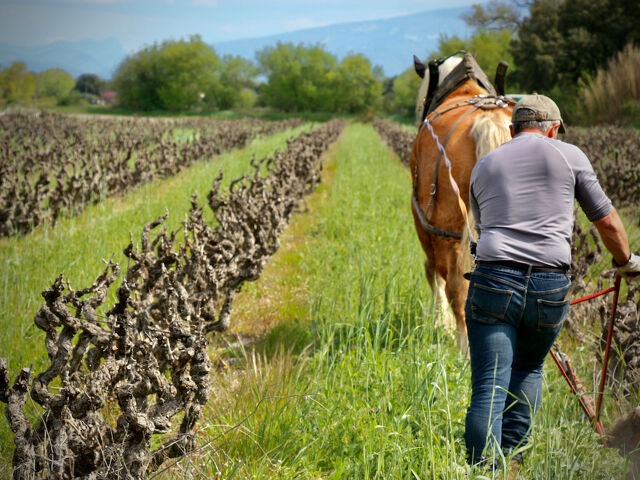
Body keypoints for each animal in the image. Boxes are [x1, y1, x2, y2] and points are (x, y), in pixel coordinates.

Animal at [412, 58, 512, 350]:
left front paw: (439, 324)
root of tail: (489, 120)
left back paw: (464, 348)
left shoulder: (424, 222)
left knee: (456, 287)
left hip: (448, 230)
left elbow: (432, 272)